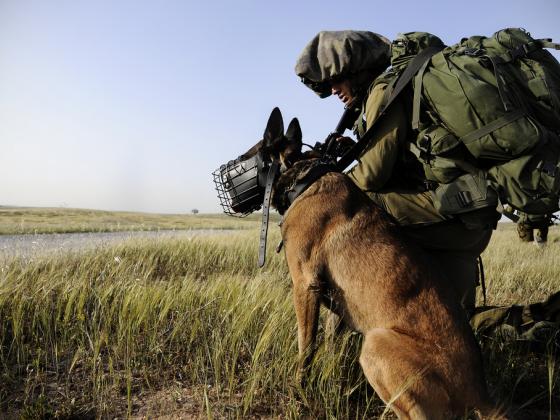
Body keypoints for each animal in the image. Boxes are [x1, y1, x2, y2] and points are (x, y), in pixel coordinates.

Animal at [243, 109, 500, 420]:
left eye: (249, 154)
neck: (305, 177)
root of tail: (480, 396)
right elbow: (330, 346)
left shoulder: (305, 286)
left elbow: (306, 348)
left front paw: (298, 392)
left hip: (376, 344)